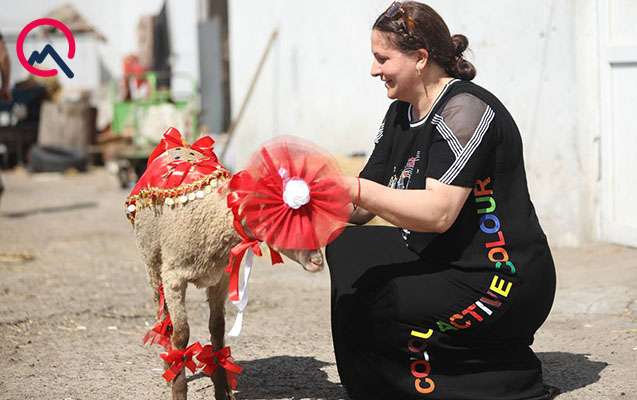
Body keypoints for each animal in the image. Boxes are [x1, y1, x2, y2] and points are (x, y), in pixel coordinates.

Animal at [131, 141, 326, 400]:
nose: (317, 261)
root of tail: (179, 145)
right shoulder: (174, 277)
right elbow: (181, 333)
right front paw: (178, 387)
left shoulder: (221, 278)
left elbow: (218, 328)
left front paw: (222, 387)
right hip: (152, 262)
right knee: (163, 315)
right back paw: (168, 364)